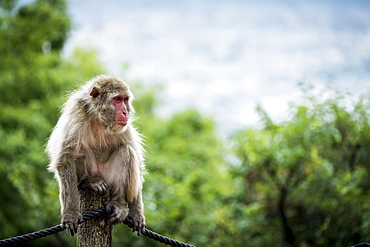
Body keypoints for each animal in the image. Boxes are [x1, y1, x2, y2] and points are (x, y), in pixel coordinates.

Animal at [45, 75, 145, 235]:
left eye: (125, 100)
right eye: (117, 99)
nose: (125, 112)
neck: (100, 120)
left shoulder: (125, 127)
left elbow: (138, 163)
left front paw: (136, 213)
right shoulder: (77, 113)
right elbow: (66, 157)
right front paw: (71, 214)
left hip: (110, 179)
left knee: (126, 150)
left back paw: (119, 203)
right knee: (80, 150)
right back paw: (87, 181)